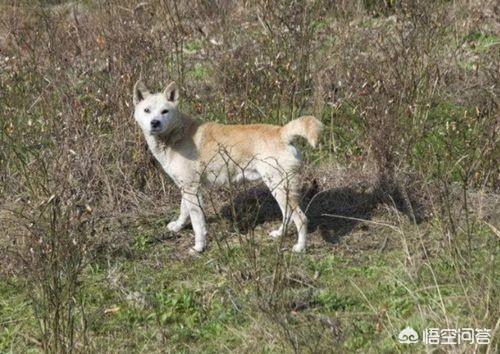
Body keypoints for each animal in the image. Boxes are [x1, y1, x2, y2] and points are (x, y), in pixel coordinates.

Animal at [131, 79, 322, 253]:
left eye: (165, 111)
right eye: (147, 110)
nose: (155, 123)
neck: (176, 134)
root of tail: (281, 132)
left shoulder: (192, 189)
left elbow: (197, 224)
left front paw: (199, 247)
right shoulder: (187, 187)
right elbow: (183, 210)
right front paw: (178, 226)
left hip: (279, 187)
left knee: (301, 218)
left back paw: (300, 247)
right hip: (279, 189)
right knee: (287, 215)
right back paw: (279, 234)